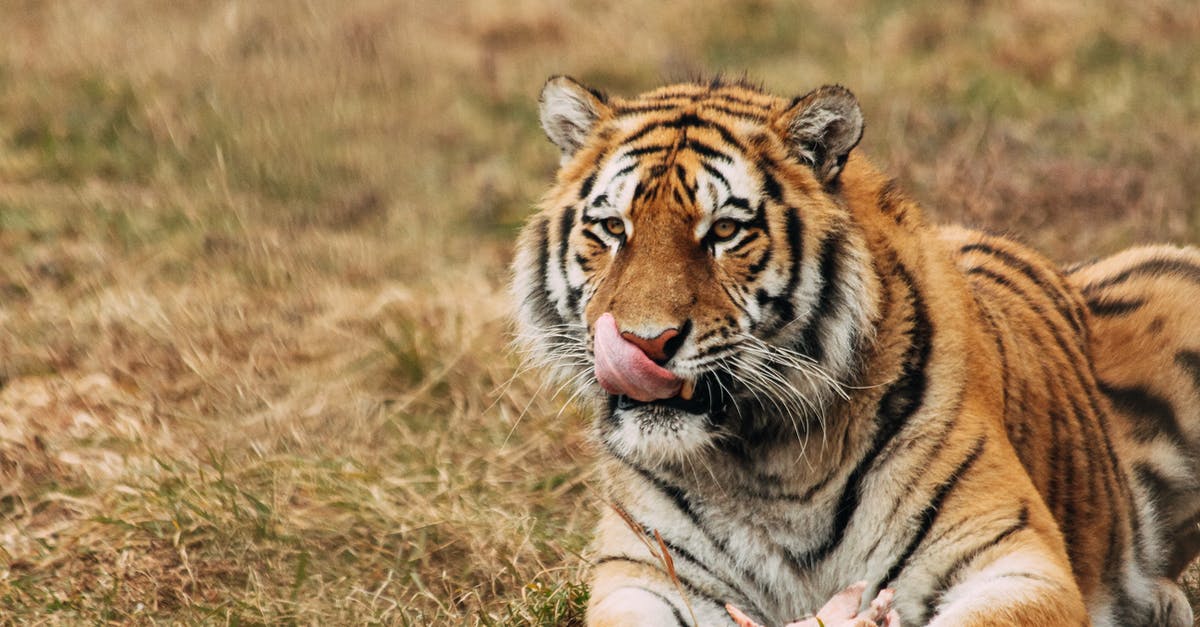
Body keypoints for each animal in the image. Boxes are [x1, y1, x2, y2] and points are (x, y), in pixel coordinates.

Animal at [508, 75, 1200, 619]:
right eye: (612, 228)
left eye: (725, 231)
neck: (765, 463)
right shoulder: (642, 574)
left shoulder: (1012, 556)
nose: (643, 343)